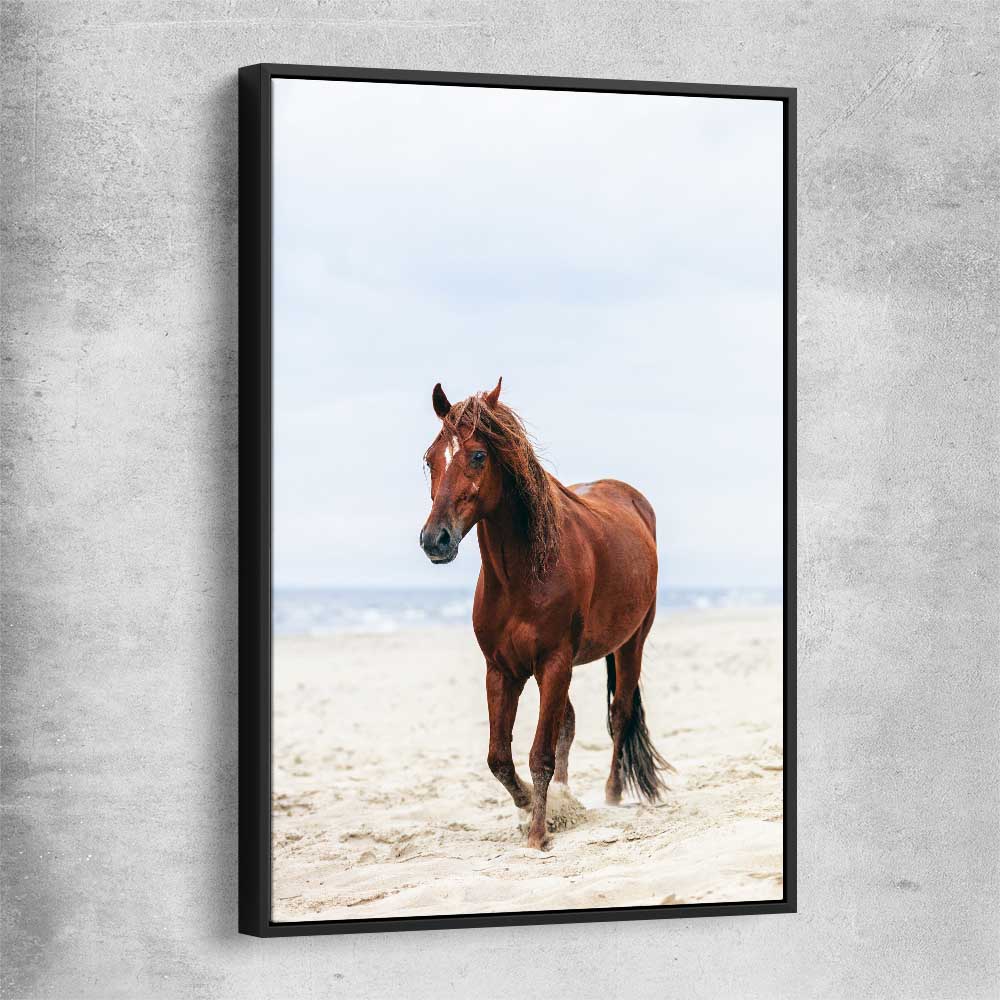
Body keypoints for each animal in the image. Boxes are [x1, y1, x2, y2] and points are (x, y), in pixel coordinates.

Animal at [419, 378, 673, 850]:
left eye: (478, 455)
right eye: (431, 459)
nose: (435, 540)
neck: (523, 575)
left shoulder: (554, 663)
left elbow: (540, 753)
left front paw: (539, 833)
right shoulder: (502, 670)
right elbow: (500, 757)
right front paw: (532, 806)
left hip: (631, 644)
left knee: (619, 715)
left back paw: (611, 794)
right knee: (569, 723)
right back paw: (567, 794)